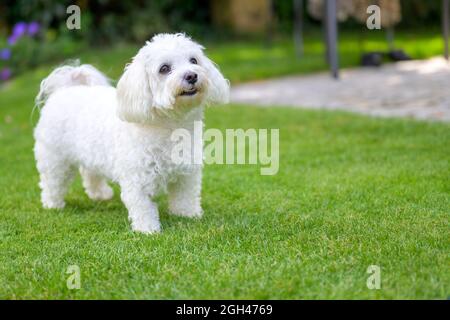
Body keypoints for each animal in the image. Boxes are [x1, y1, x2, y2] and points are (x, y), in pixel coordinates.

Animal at [33, 33, 230, 232]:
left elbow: (185, 197)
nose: (191, 75)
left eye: (194, 60)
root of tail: (66, 89)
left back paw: (99, 194)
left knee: (89, 173)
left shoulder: (187, 173)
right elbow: (143, 206)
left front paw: (188, 215)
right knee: (52, 181)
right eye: (164, 69)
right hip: (55, 158)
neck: (171, 124)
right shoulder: (137, 178)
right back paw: (53, 204)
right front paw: (148, 229)